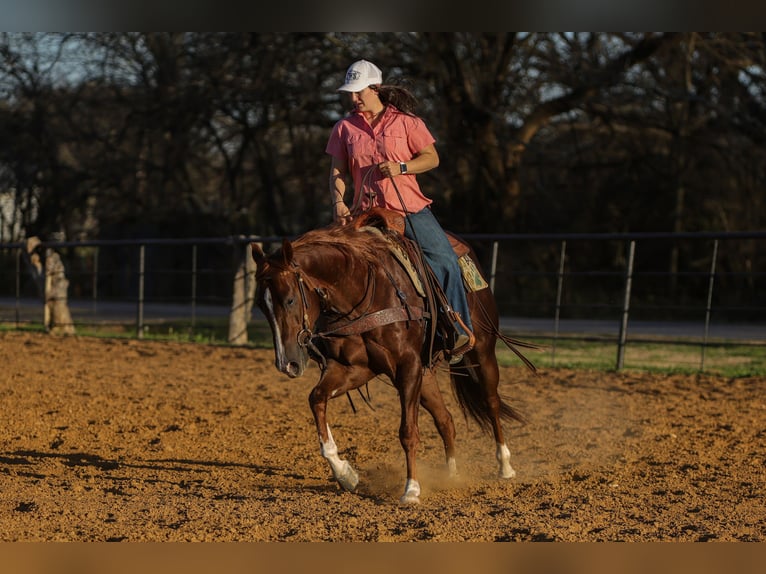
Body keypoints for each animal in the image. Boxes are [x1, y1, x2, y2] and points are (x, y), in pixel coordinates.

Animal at [251, 214, 535, 504]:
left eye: (289, 300)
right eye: (261, 305)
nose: (287, 364)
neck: (362, 292)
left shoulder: (406, 366)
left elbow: (408, 431)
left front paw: (411, 490)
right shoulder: (354, 368)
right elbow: (316, 398)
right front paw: (346, 474)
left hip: (482, 350)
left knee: (491, 402)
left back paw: (505, 466)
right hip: (426, 374)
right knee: (446, 420)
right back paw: (452, 476)